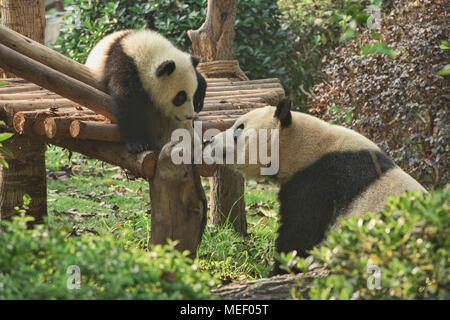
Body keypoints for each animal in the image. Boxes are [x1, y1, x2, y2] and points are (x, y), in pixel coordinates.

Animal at [207, 99, 426, 274]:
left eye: (239, 128)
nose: (210, 141)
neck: (302, 146)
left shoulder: (318, 181)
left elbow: (301, 232)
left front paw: (280, 270)